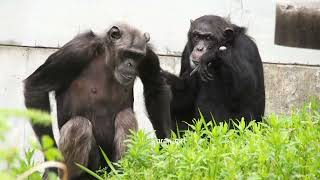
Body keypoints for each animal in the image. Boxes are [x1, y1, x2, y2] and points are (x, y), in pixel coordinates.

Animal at [23, 23, 171, 179]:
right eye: (126, 53)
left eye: (137, 56)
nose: (131, 64)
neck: (107, 56)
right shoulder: (74, 51)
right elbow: (36, 86)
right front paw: (50, 164)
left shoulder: (149, 57)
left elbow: (155, 87)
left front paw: (166, 149)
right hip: (94, 166)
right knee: (78, 126)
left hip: (108, 165)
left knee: (126, 117)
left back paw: (122, 172)